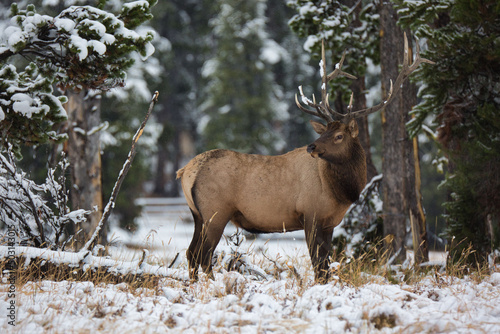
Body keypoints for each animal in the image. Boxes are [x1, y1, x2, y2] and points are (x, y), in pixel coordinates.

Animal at [177, 34, 434, 282]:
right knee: (203, 254)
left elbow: (325, 264)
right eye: (325, 131)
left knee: (191, 253)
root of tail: (186, 171)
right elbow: (319, 264)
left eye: (338, 135)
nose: (312, 146)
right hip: (215, 212)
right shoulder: (310, 215)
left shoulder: (329, 223)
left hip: (198, 214)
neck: (341, 191)